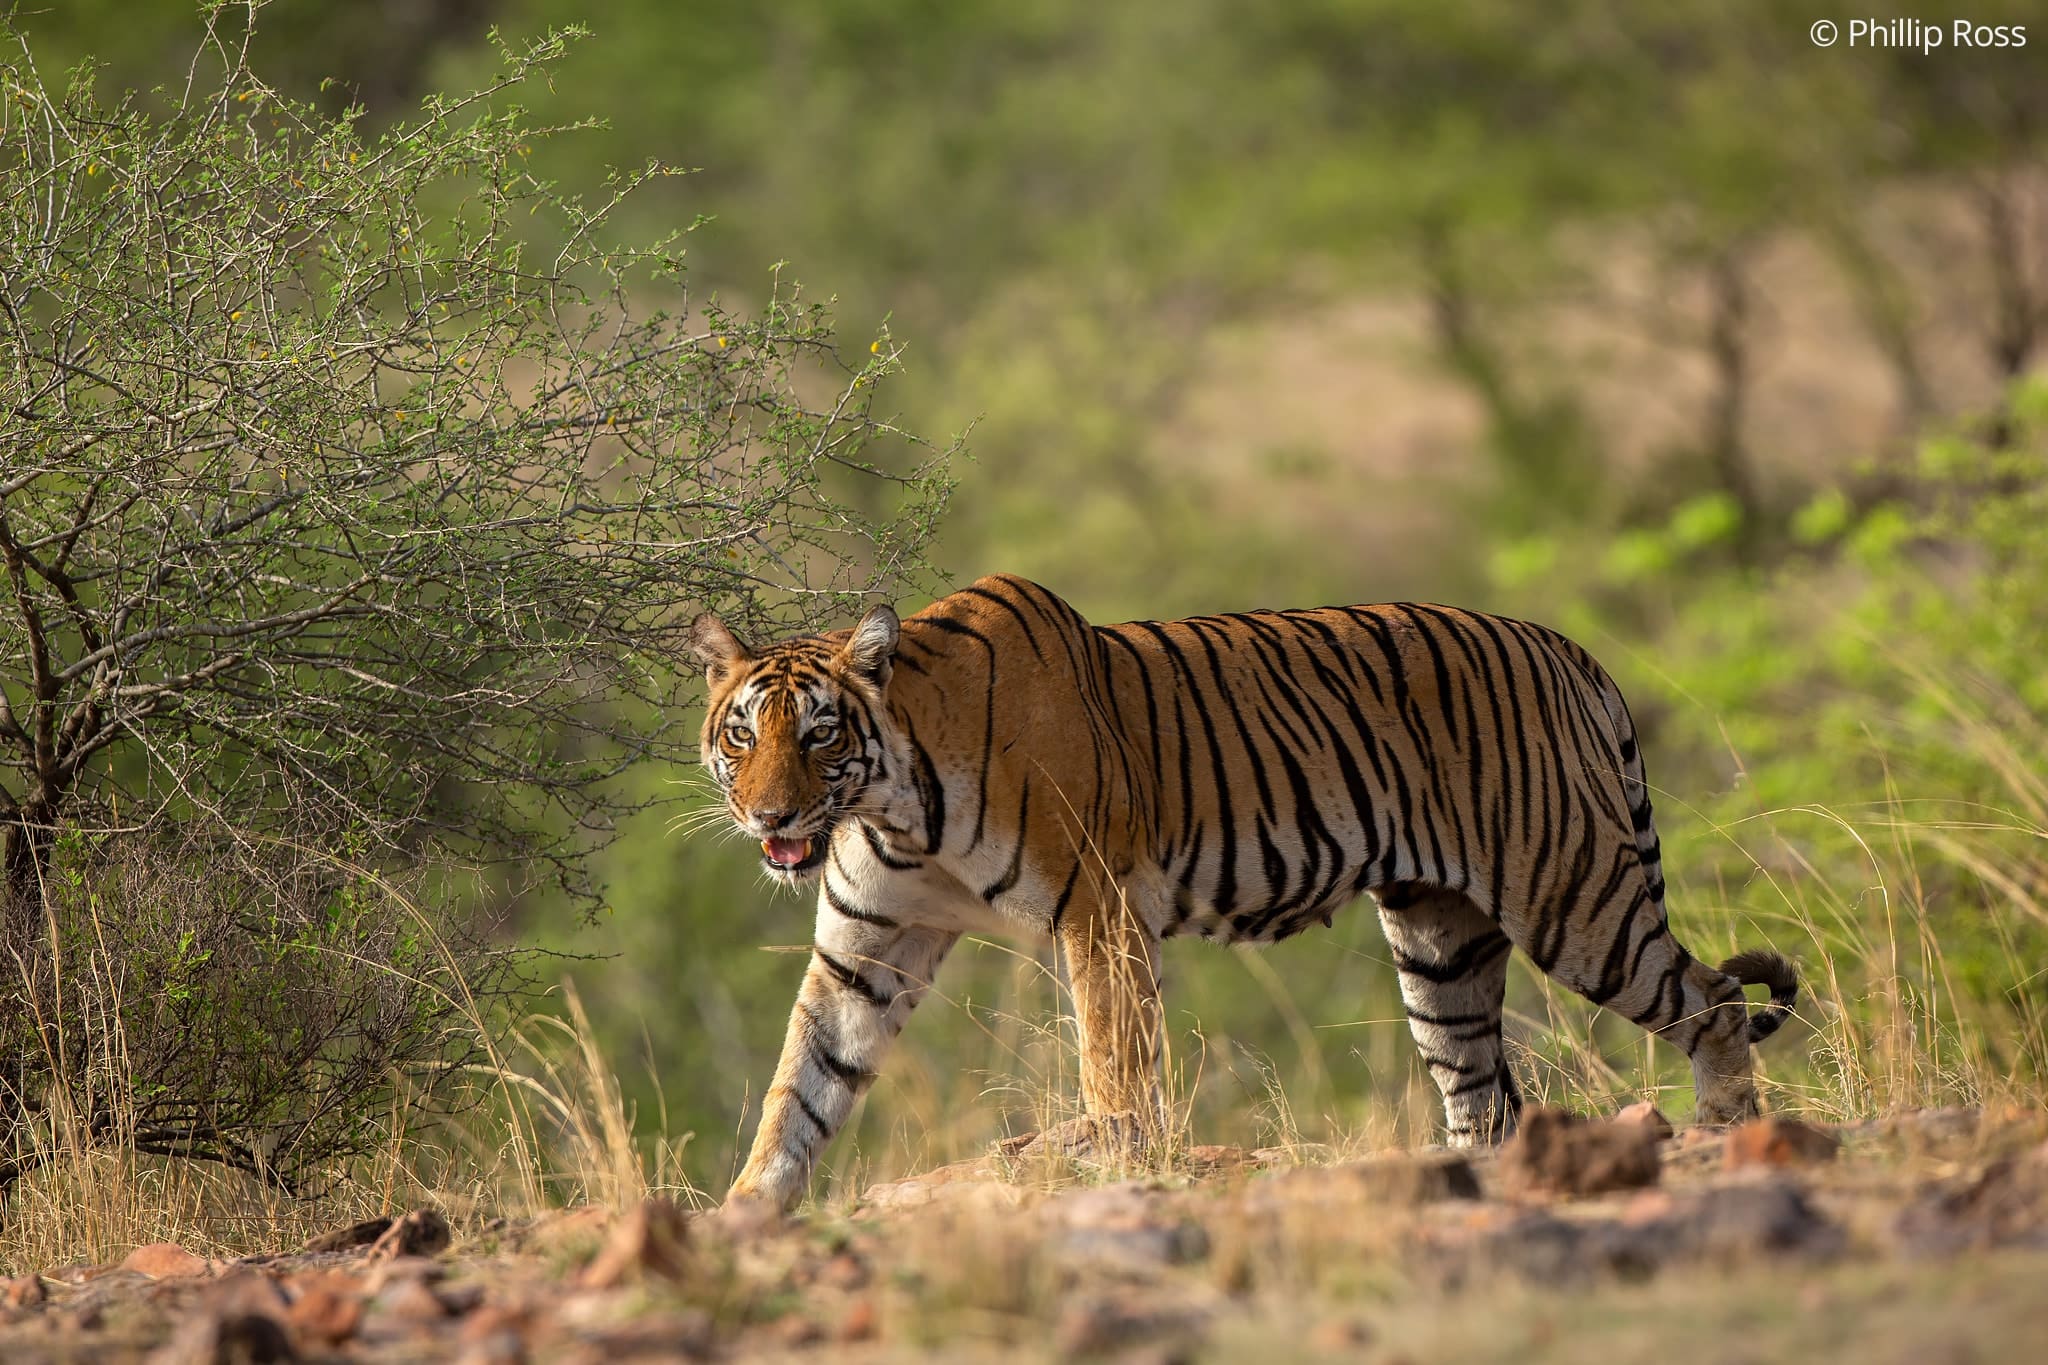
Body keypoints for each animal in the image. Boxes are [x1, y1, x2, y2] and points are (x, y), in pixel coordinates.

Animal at [688, 573, 1794, 1211]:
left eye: (820, 734)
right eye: (741, 735)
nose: (768, 816)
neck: (893, 804)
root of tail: (1568, 650)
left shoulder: (1100, 911)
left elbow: (1112, 1064)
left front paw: (1121, 1171)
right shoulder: (868, 945)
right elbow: (801, 1084)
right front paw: (745, 1212)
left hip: (1572, 896)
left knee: (1710, 1001)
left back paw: (1722, 1135)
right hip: (1439, 940)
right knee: (1482, 1094)